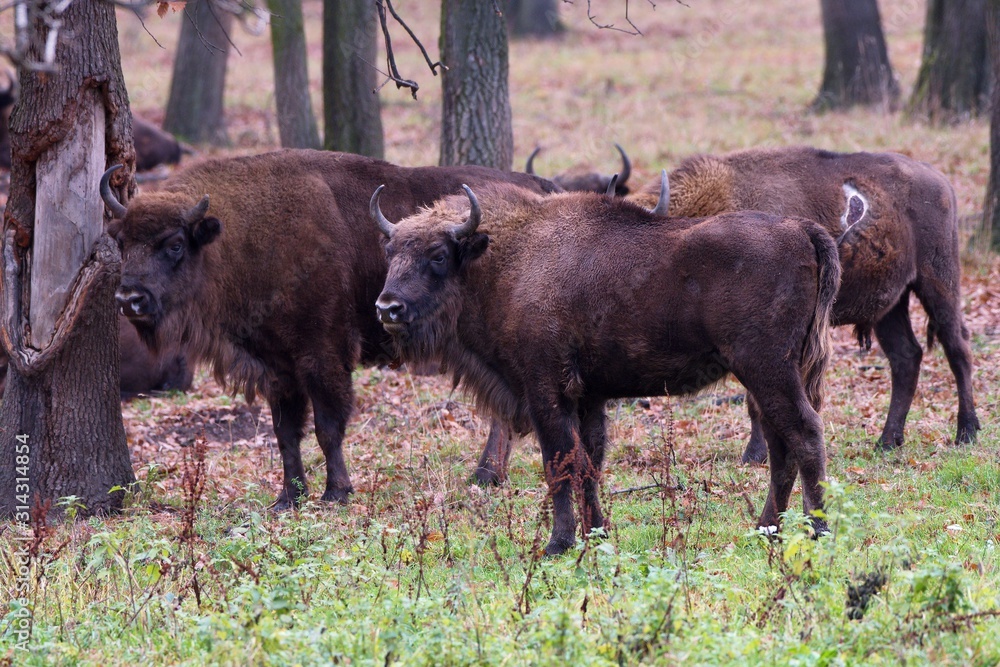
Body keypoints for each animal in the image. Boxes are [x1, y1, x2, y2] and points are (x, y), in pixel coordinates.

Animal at [101, 149, 559, 509]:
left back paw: (485, 475)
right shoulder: (277, 367)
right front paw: (288, 497)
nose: (129, 299)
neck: (245, 237)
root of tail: (538, 186)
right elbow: (286, 434)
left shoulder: (322, 356)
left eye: (175, 244)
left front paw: (336, 492)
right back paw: (488, 475)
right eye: (123, 242)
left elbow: (327, 426)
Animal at [371, 176, 841, 554]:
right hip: (771, 377)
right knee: (781, 448)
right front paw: (596, 534)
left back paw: (817, 530)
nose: (387, 308)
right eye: (390, 251)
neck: (511, 259)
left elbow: (560, 463)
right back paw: (766, 530)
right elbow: (589, 464)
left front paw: (557, 544)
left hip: (768, 370)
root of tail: (799, 228)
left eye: (437, 254)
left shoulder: (546, 391)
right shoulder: (588, 396)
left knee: (804, 434)